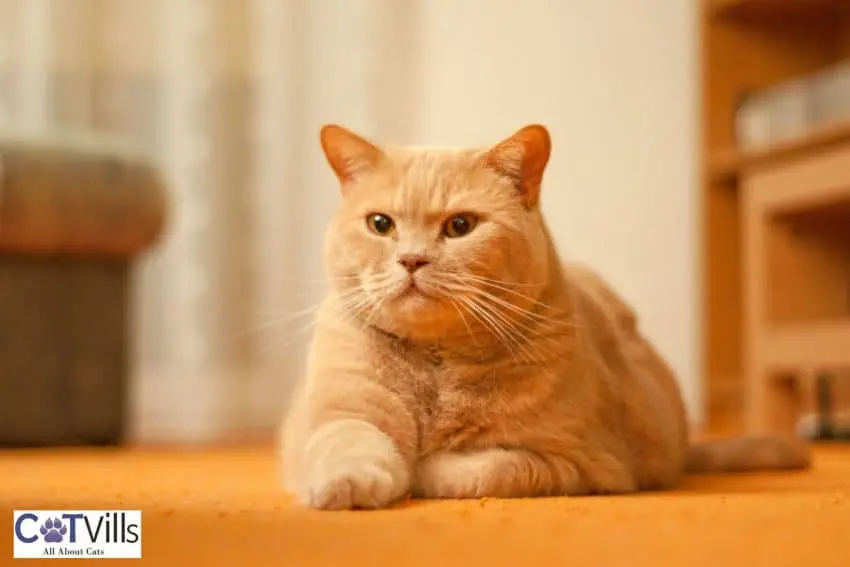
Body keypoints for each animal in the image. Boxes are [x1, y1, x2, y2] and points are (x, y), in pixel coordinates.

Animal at [278, 123, 808, 510]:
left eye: (460, 226)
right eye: (380, 224)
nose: (411, 260)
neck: (436, 368)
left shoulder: (580, 463)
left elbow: (488, 468)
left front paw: (425, 470)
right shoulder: (339, 416)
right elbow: (349, 443)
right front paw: (348, 483)